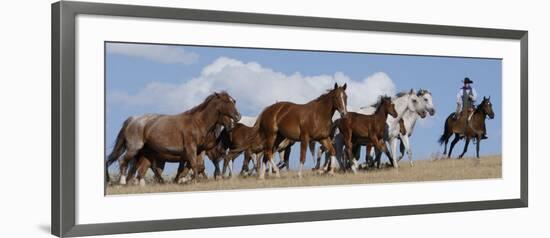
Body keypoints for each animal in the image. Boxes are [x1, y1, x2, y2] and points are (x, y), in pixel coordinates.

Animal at [104, 91, 240, 184]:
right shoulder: (190, 148)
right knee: (123, 161)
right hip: (134, 148)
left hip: (145, 152)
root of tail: (132, 119)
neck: (197, 122)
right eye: (226, 102)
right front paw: (193, 181)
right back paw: (122, 182)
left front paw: (184, 180)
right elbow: (194, 165)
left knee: (140, 168)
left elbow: (191, 166)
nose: (238, 117)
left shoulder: (197, 151)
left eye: (234, 101)